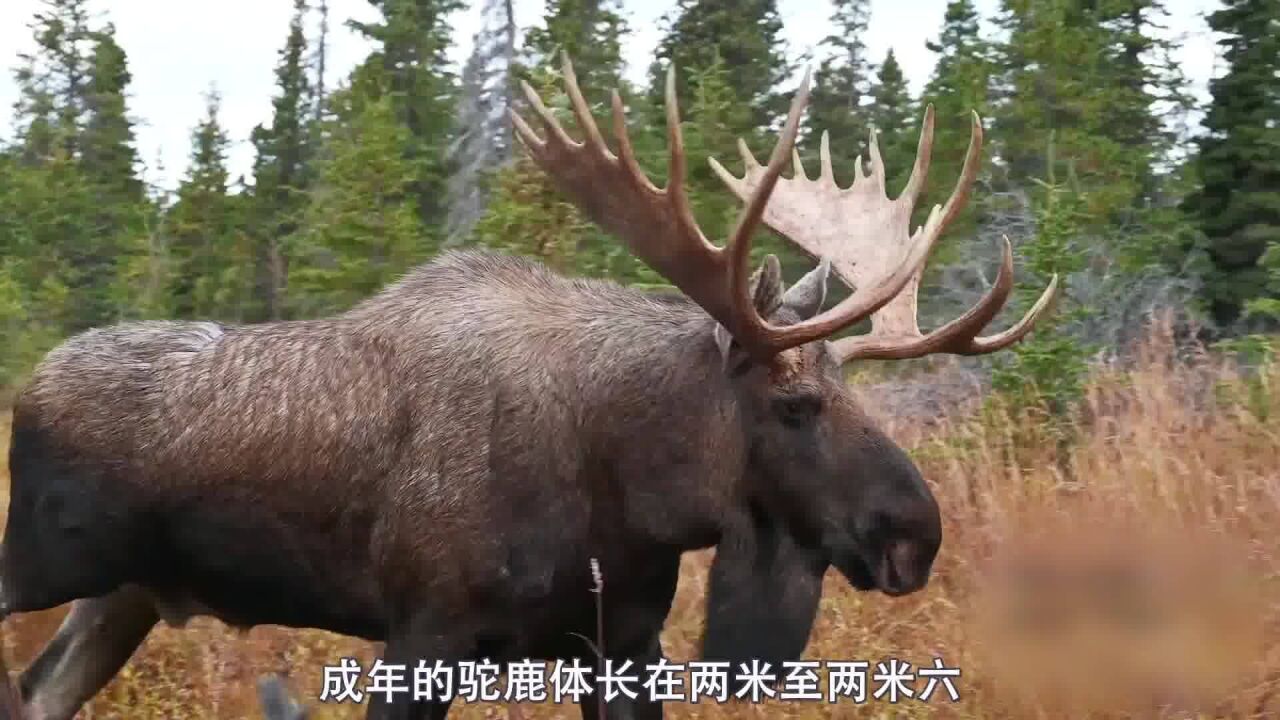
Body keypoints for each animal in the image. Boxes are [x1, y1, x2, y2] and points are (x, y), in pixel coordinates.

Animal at [0, 55, 1054, 720]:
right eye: (795, 406)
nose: (916, 535)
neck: (624, 490)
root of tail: (30, 388)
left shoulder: (623, 642)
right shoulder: (423, 634)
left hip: (124, 597)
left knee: (42, 691)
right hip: (36, 566)